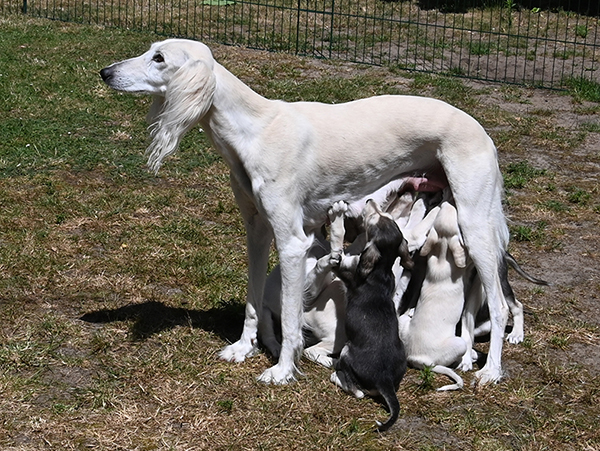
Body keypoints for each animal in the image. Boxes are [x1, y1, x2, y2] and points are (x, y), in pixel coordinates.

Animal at [99, 38, 510, 384]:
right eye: (150, 50)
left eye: (159, 58)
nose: (105, 72)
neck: (255, 130)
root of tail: (483, 132)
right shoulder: (257, 230)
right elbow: (253, 301)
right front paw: (243, 348)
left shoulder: (293, 242)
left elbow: (292, 315)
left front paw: (282, 370)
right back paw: (469, 357)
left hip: (474, 225)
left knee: (500, 305)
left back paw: (490, 370)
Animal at [328, 200, 412, 432]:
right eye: (386, 216)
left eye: (373, 220)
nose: (369, 201)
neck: (381, 267)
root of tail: (384, 380)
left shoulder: (343, 268)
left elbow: (337, 245)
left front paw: (336, 217)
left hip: (348, 350)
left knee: (358, 391)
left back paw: (336, 375)